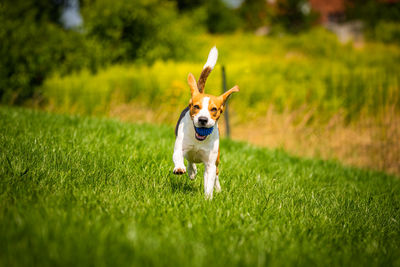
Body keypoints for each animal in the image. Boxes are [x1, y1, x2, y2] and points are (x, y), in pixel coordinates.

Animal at [173, 47, 239, 200]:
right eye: (196, 106)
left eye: (214, 109)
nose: (203, 119)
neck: (199, 139)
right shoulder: (180, 147)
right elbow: (178, 156)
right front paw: (179, 168)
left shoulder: (210, 163)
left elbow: (210, 180)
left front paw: (208, 199)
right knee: (190, 160)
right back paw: (191, 171)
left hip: (217, 159)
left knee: (216, 174)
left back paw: (218, 188)